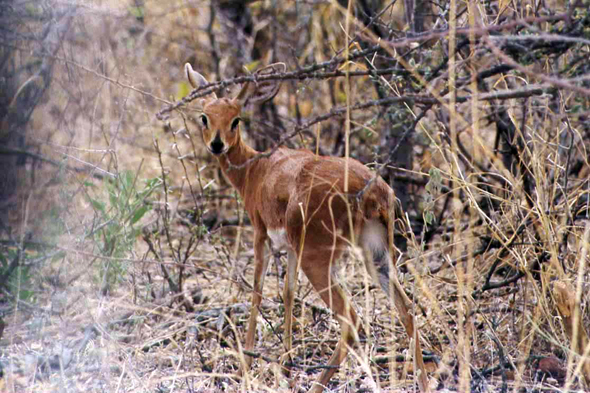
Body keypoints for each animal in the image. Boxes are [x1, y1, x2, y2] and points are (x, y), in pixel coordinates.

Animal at [185, 62, 430, 390]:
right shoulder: (290, 247)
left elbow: (257, 290)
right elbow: (288, 293)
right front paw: (286, 362)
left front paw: (246, 363)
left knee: (352, 320)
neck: (255, 171)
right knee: (407, 308)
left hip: (318, 259)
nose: (216, 144)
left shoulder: (260, 234)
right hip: (376, 252)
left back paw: (317, 384)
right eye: (205, 116)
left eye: (235, 119)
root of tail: (374, 190)